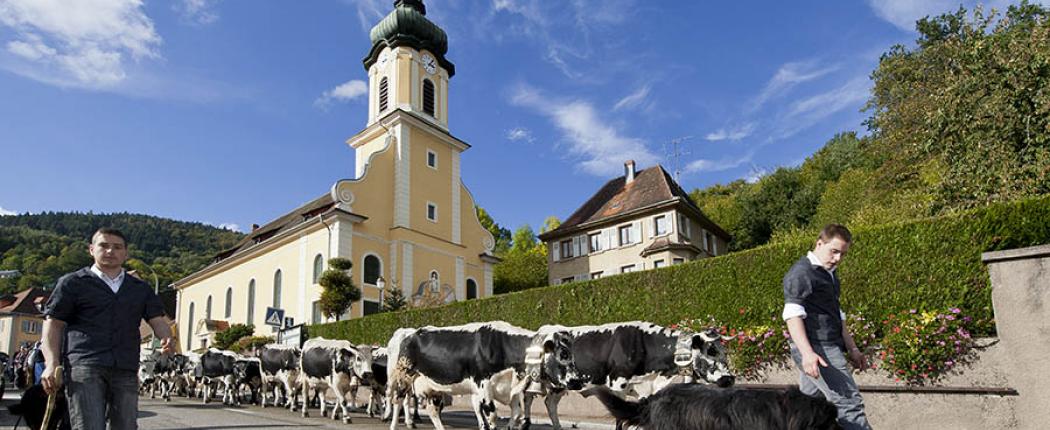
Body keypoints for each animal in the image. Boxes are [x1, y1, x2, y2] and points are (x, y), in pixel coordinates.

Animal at [386, 323, 588, 429]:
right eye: (563, 354)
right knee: (398, 401)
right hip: (403, 376)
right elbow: (492, 416)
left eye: (572, 353)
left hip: (432, 386)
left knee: (433, 410)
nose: (578, 380)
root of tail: (410, 333)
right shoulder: (484, 386)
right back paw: (394, 425)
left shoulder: (512, 389)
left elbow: (516, 414)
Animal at [529, 323, 734, 429]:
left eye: (724, 351)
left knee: (550, 403)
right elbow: (620, 420)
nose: (729, 378)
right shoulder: (617, 385)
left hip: (559, 386)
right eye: (711, 351)